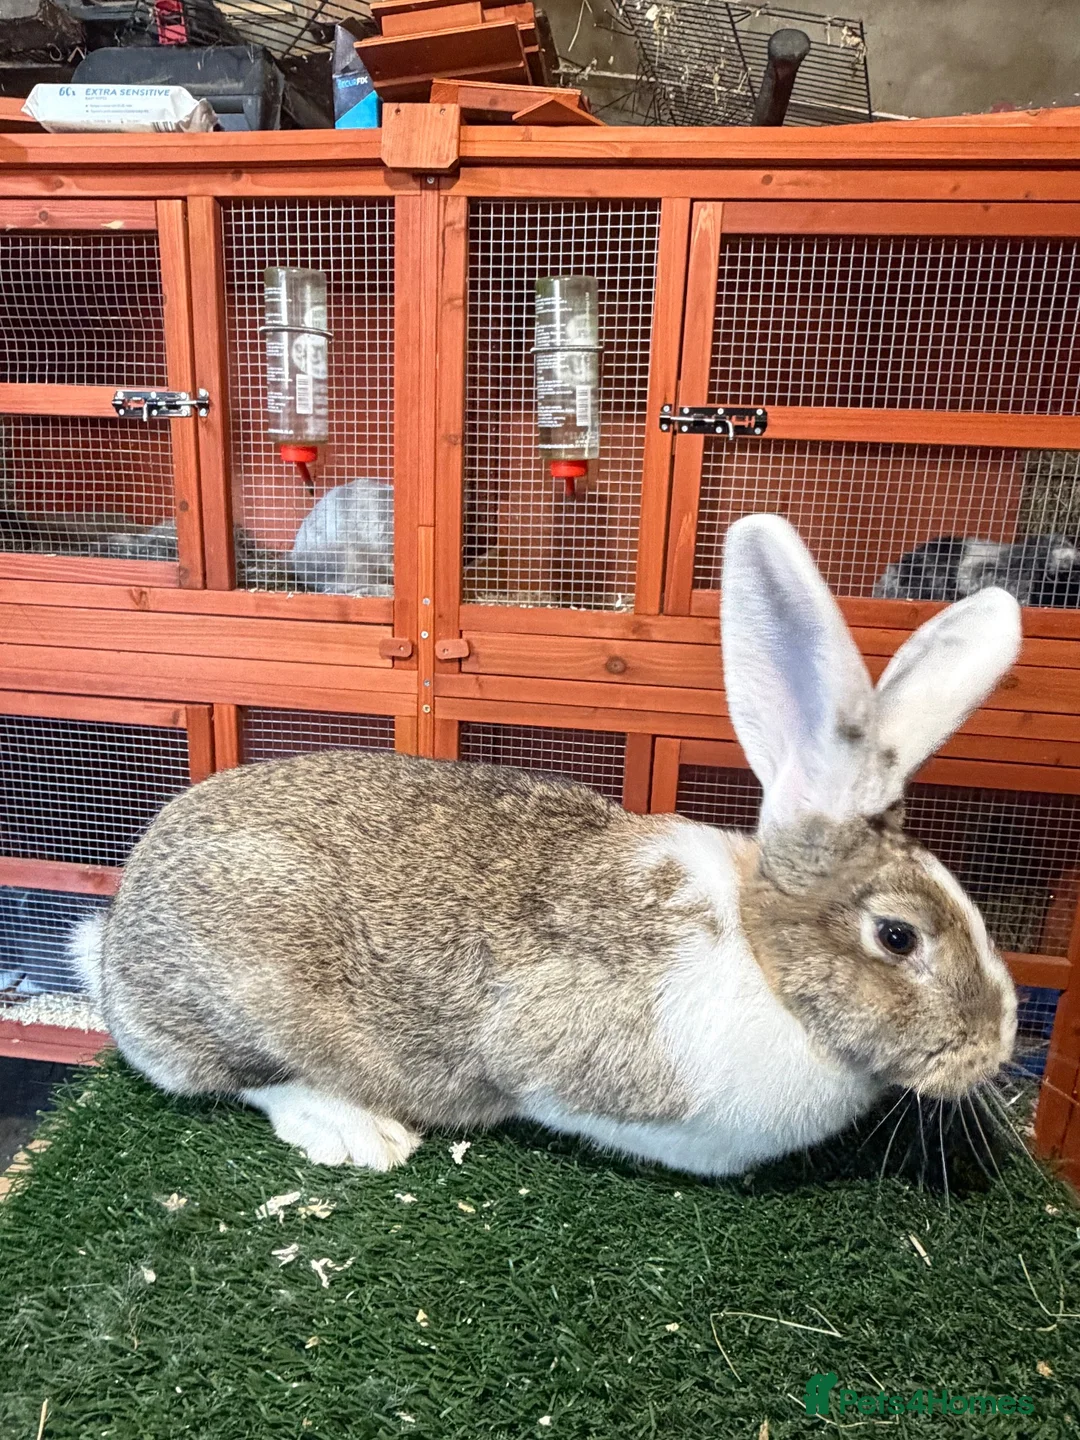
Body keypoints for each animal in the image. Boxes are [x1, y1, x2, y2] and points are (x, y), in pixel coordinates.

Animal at [70, 516, 1021, 1178]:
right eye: (897, 937)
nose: (999, 1047)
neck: (761, 961)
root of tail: (111, 950)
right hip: (243, 992)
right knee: (238, 1077)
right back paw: (358, 1131)